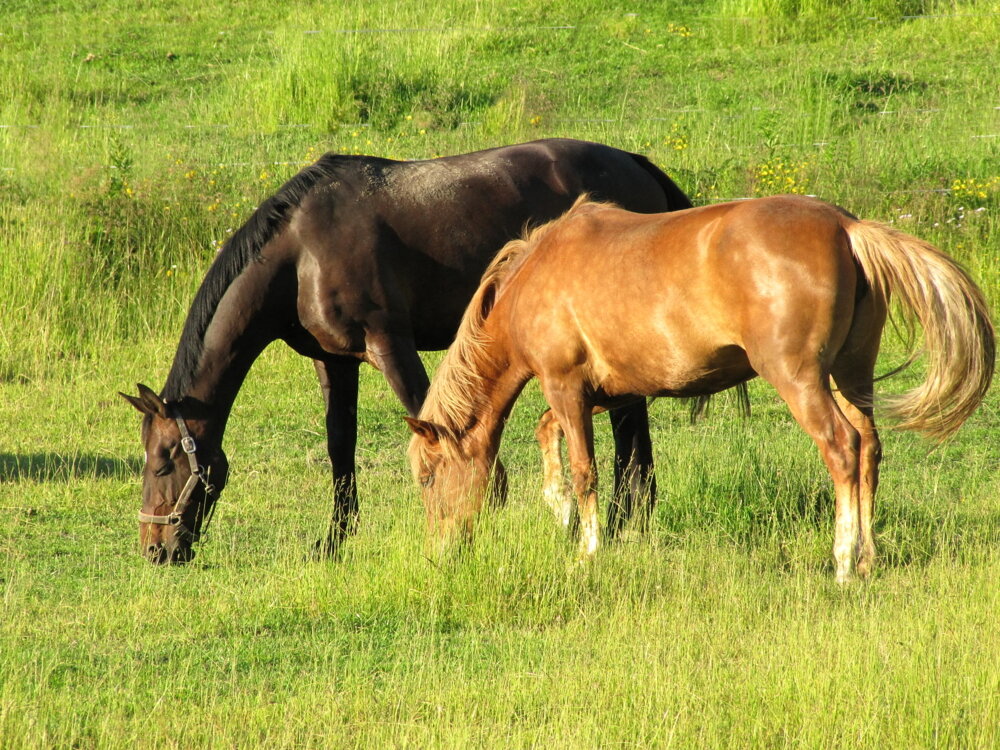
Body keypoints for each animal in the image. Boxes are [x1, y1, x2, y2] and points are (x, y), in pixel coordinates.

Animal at [119, 140, 696, 564]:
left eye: (164, 462)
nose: (155, 550)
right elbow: (340, 445)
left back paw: (622, 523)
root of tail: (636, 162)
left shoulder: (389, 344)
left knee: (629, 431)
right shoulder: (333, 361)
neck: (302, 252)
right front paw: (335, 540)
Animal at [406, 197, 992, 584]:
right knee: (869, 448)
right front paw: (562, 516)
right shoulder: (603, 394)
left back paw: (844, 561)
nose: (440, 553)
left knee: (842, 448)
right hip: (852, 376)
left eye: (430, 476)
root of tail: (846, 227)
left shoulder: (565, 386)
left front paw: (588, 550)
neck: (533, 279)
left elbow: (583, 470)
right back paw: (868, 556)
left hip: (800, 380)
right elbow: (550, 440)